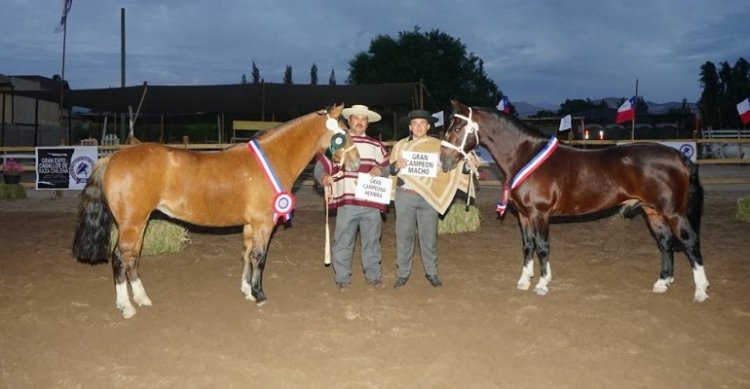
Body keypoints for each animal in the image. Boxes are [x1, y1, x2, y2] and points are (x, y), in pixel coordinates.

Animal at [72, 104, 362, 316]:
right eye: (343, 132)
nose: (357, 162)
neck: (271, 158)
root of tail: (113, 156)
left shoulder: (250, 225)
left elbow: (247, 255)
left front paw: (247, 291)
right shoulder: (263, 224)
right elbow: (259, 257)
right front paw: (259, 295)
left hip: (139, 223)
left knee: (132, 258)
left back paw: (142, 299)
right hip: (131, 223)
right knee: (120, 257)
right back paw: (126, 306)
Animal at [440, 99, 712, 300]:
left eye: (456, 128)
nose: (443, 161)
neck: (525, 155)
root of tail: (680, 157)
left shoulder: (539, 214)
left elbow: (542, 246)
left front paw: (542, 284)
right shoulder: (525, 216)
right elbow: (528, 246)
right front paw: (524, 280)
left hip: (673, 212)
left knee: (690, 242)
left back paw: (700, 290)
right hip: (652, 211)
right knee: (665, 243)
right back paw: (662, 283)